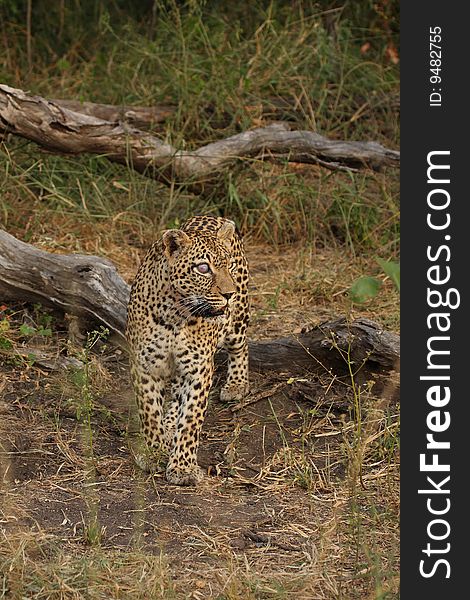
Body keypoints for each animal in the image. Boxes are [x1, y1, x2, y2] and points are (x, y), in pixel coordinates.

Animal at [125, 216, 250, 488]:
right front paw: (154, 452)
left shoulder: (198, 369)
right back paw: (169, 422)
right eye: (203, 268)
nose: (229, 294)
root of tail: (213, 216)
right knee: (174, 394)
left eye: (229, 266)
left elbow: (192, 418)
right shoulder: (145, 365)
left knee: (241, 346)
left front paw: (183, 467)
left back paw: (236, 384)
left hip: (237, 322)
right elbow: (149, 412)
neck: (176, 313)